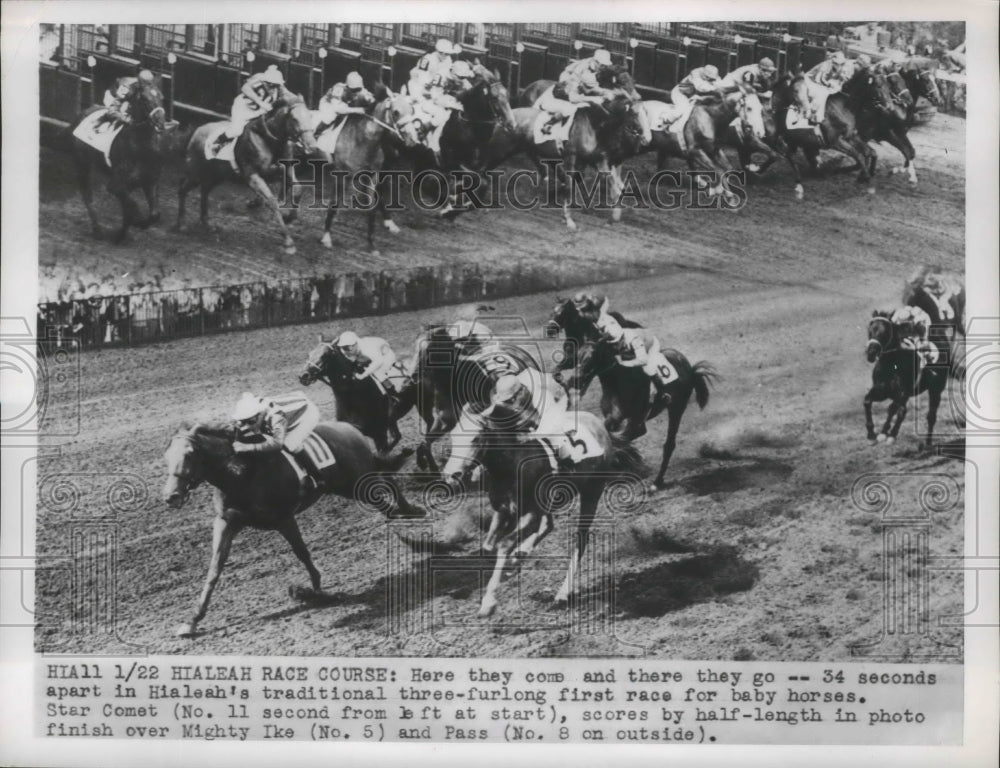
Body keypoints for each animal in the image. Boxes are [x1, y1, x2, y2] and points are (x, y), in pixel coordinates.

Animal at [68, 71, 170, 243]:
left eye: (161, 96)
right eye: (144, 98)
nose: (160, 122)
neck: (141, 148)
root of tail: (83, 112)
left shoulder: (150, 182)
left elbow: (154, 214)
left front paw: (126, 232)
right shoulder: (115, 185)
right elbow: (133, 205)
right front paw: (136, 222)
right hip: (82, 164)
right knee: (87, 195)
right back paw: (97, 229)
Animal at [165, 420, 426, 636]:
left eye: (190, 454)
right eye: (167, 456)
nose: (171, 496)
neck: (240, 472)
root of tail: (348, 427)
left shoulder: (284, 518)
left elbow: (302, 552)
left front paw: (315, 589)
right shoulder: (226, 522)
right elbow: (214, 570)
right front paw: (193, 620)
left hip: (355, 482)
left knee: (386, 491)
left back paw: (410, 515)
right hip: (347, 485)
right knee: (386, 485)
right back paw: (409, 512)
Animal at [176, 92, 324, 255]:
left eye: (310, 116)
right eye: (294, 119)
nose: (312, 146)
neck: (268, 138)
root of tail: (197, 131)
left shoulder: (286, 168)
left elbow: (298, 187)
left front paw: (290, 217)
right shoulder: (253, 176)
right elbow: (272, 201)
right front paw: (288, 242)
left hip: (216, 175)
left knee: (204, 191)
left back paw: (206, 223)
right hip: (196, 172)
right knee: (183, 189)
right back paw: (181, 224)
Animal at [864, 312, 948, 444]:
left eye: (886, 332)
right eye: (870, 330)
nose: (871, 353)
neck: (891, 365)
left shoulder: (902, 393)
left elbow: (898, 410)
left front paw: (889, 434)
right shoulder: (882, 390)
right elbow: (867, 401)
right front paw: (871, 434)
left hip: (936, 390)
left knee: (931, 416)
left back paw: (928, 443)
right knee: (896, 409)